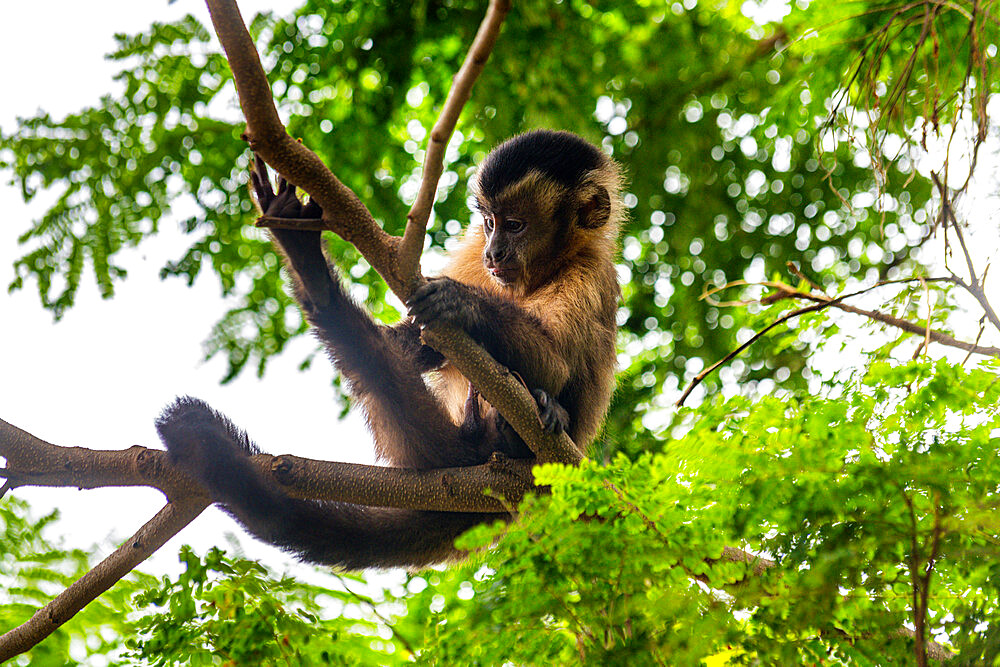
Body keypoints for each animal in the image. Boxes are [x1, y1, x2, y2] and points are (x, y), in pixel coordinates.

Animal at [156, 130, 620, 568]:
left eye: (516, 225)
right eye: (490, 222)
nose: (495, 252)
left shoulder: (589, 271)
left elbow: (555, 365)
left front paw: (463, 305)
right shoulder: (473, 255)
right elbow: (412, 345)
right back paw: (312, 274)